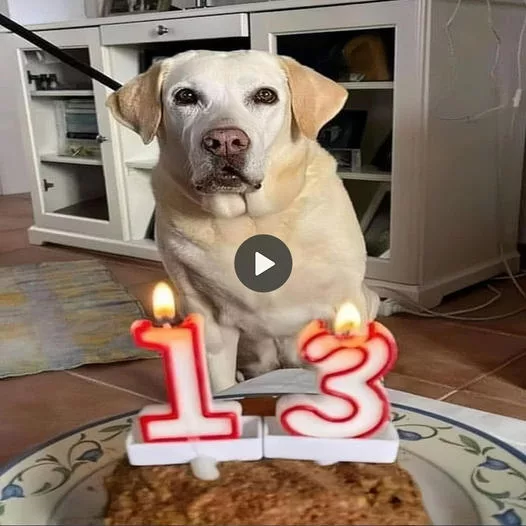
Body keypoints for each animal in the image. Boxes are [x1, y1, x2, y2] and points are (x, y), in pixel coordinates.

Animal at [107, 49, 380, 394]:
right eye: (185, 96)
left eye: (265, 95)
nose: (225, 141)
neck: (250, 218)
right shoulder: (208, 318)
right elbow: (221, 384)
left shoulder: (343, 304)